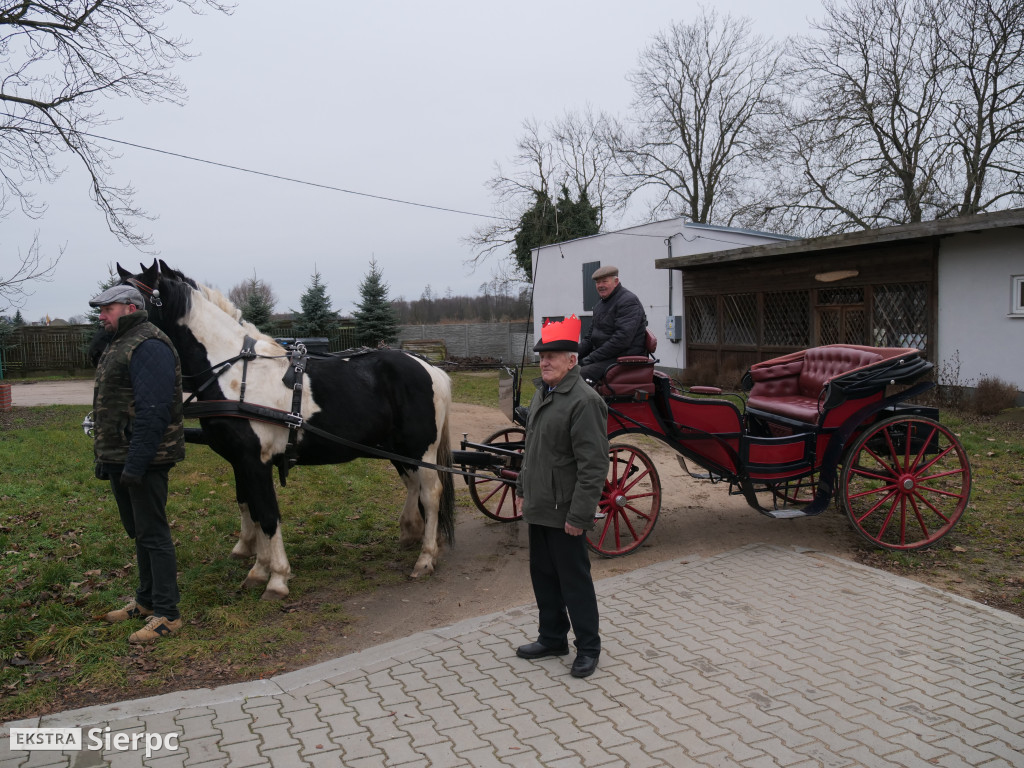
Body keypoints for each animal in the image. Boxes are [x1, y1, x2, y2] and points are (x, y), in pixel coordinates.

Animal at [117, 260, 454, 602]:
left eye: (134, 300)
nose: (107, 345)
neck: (233, 373)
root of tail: (429, 367)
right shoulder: (240, 461)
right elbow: (249, 506)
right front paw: (259, 567)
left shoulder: (256, 461)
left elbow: (267, 515)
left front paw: (276, 577)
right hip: (398, 449)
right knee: (413, 487)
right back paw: (412, 533)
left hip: (420, 449)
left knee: (431, 494)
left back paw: (425, 557)